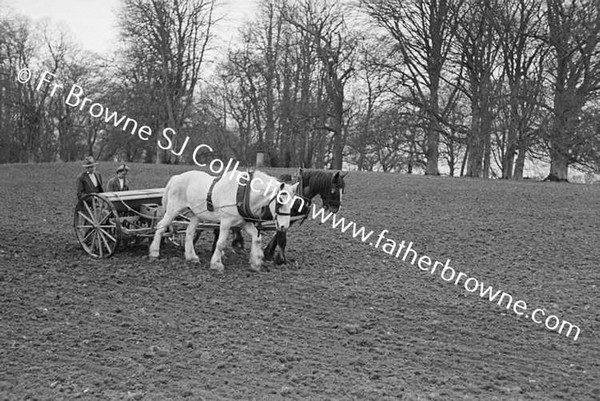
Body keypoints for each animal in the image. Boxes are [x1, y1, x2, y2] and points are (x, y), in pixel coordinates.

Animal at [148, 169, 298, 272]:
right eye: (280, 201)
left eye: (293, 202)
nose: (284, 226)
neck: (243, 192)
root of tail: (177, 177)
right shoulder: (226, 222)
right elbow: (220, 243)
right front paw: (216, 264)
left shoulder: (244, 222)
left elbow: (257, 238)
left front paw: (256, 262)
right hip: (173, 210)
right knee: (160, 227)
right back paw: (154, 252)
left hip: (196, 215)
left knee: (189, 233)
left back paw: (192, 257)